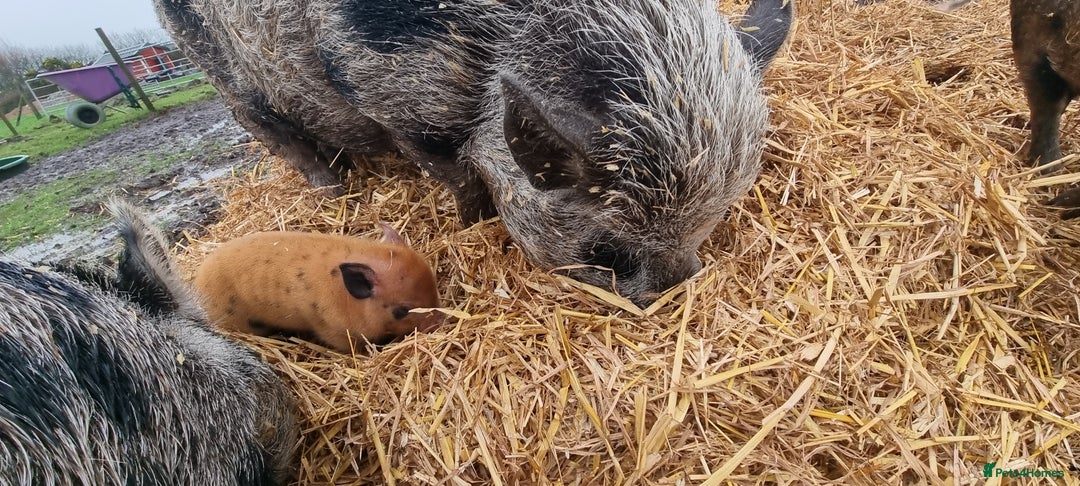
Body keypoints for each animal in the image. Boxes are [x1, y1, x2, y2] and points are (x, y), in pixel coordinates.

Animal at [153, 0, 792, 305]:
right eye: (606, 252)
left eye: (711, 225)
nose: (677, 287)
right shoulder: (398, 98)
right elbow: (457, 173)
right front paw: (470, 224)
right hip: (221, 74)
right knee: (272, 130)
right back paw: (334, 192)